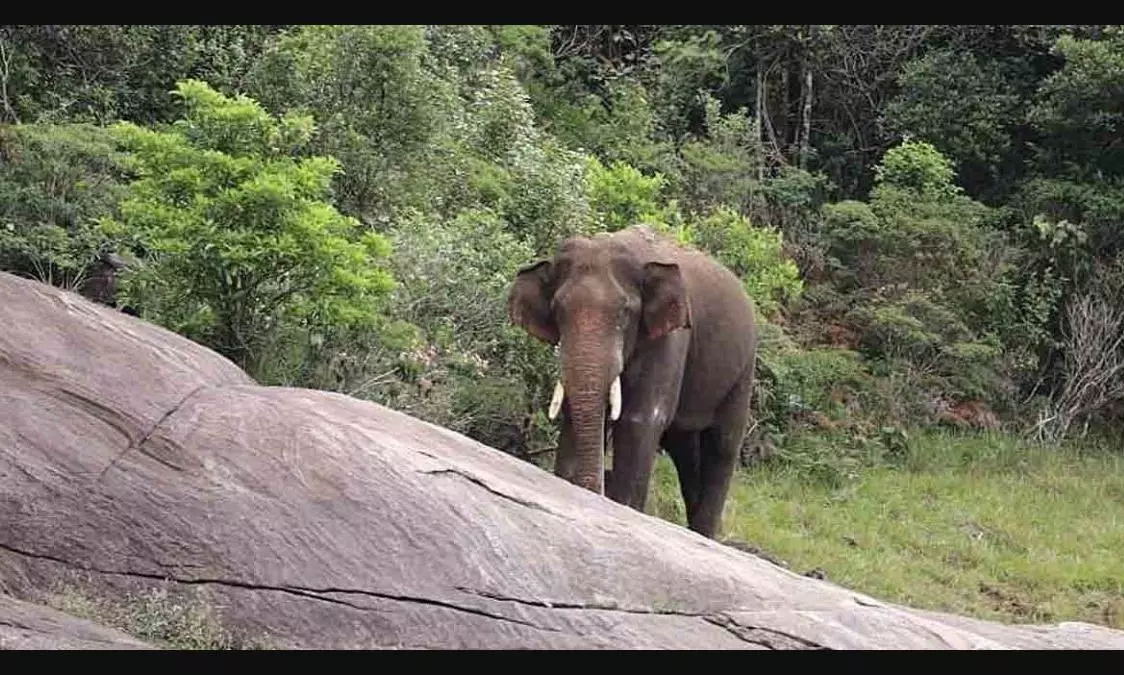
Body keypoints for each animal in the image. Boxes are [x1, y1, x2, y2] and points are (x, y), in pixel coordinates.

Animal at [508, 223, 755, 539]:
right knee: (686, 453)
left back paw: (703, 533)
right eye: (557, 310)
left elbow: (640, 421)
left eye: (625, 312)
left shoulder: (671, 340)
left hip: (742, 373)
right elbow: (578, 416)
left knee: (722, 445)